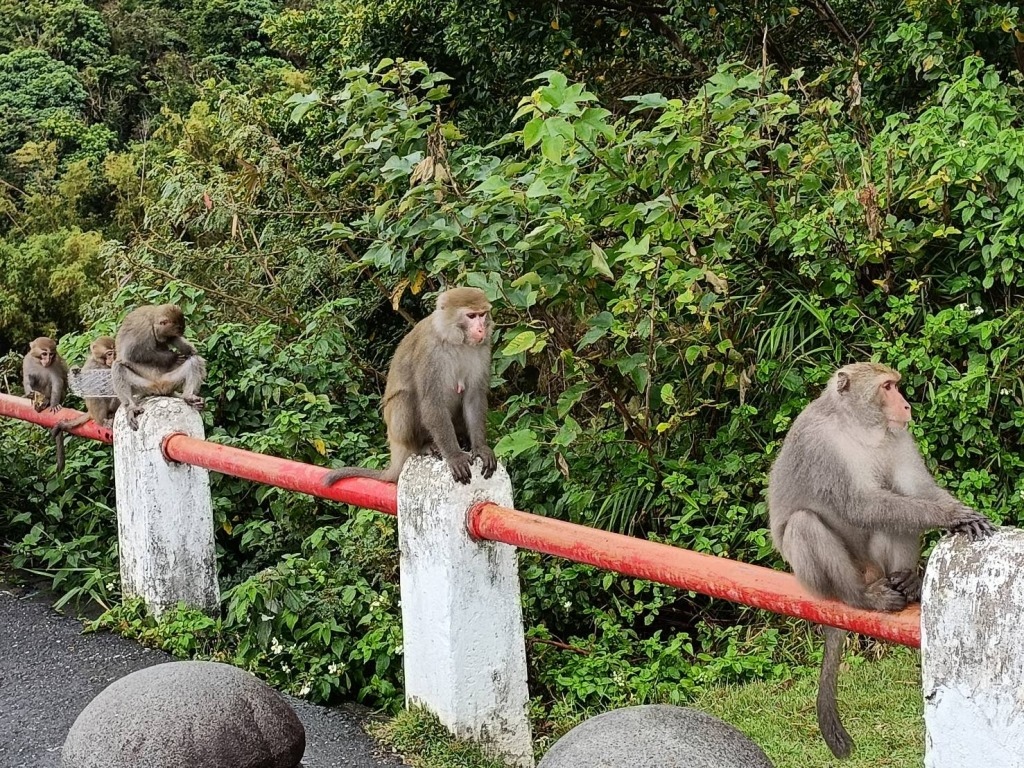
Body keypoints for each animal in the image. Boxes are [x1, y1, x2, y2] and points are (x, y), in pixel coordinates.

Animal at [49, 337, 119, 475]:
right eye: (109, 353)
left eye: (114, 352)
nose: (112, 358)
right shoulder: (91, 366)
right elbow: (89, 386)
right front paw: (75, 371)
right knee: (95, 395)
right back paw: (103, 421)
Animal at [111, 303, 205, 434]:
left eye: (171, 336)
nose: (167, 339)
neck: (152, 318)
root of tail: (159, 387)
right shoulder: (143, 328)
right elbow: (132, 353)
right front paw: (173, 357)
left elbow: (192, 355)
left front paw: (189, 350)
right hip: (145, 386)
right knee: (118, 366)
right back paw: (132, 407)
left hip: (168, 380)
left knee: (195, 361)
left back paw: (188, 397)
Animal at [319, 286, 495, 489]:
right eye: (471, 316)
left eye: (483, 314)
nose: (481, 328)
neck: (455, 340)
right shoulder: (429, 351)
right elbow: (431, 402)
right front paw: (455, 455)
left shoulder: (483, 348)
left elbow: (474, 397)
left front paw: (480, 448)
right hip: (399, 433)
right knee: (406, 398)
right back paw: (424, 446)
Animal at [770, 364, 995, 761]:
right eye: (887, 387)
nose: (905, 406)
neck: (858, 428)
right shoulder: (819, 443)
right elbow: (862, 504)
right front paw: (952, 515)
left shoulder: (897, 436)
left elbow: (915, 491)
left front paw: (956, 515)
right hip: (820, 578)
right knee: (804, 524)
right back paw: (860, 596)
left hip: (877, 564)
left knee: (895, 515)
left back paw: (908, 583)